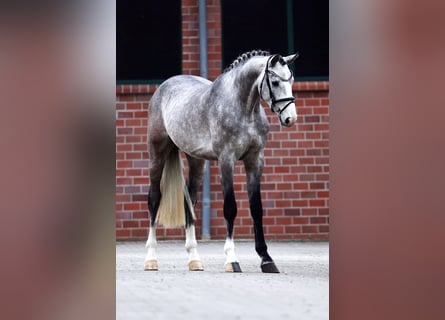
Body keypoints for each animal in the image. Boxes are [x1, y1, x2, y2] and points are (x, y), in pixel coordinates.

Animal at [146, 49, 296, 272]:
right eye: (276, 82)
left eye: (292, 80)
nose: (290, 119)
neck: (243, 108)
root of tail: (163, 88)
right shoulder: (227, 160)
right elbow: (230, 208)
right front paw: (232, 259)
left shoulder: (255, 161)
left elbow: (256, 209)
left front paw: (266, 259)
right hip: (157, 154)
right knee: (154, 199)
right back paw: (151, 259)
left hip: (196, 161)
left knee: (189, 201)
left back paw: (194, 260)